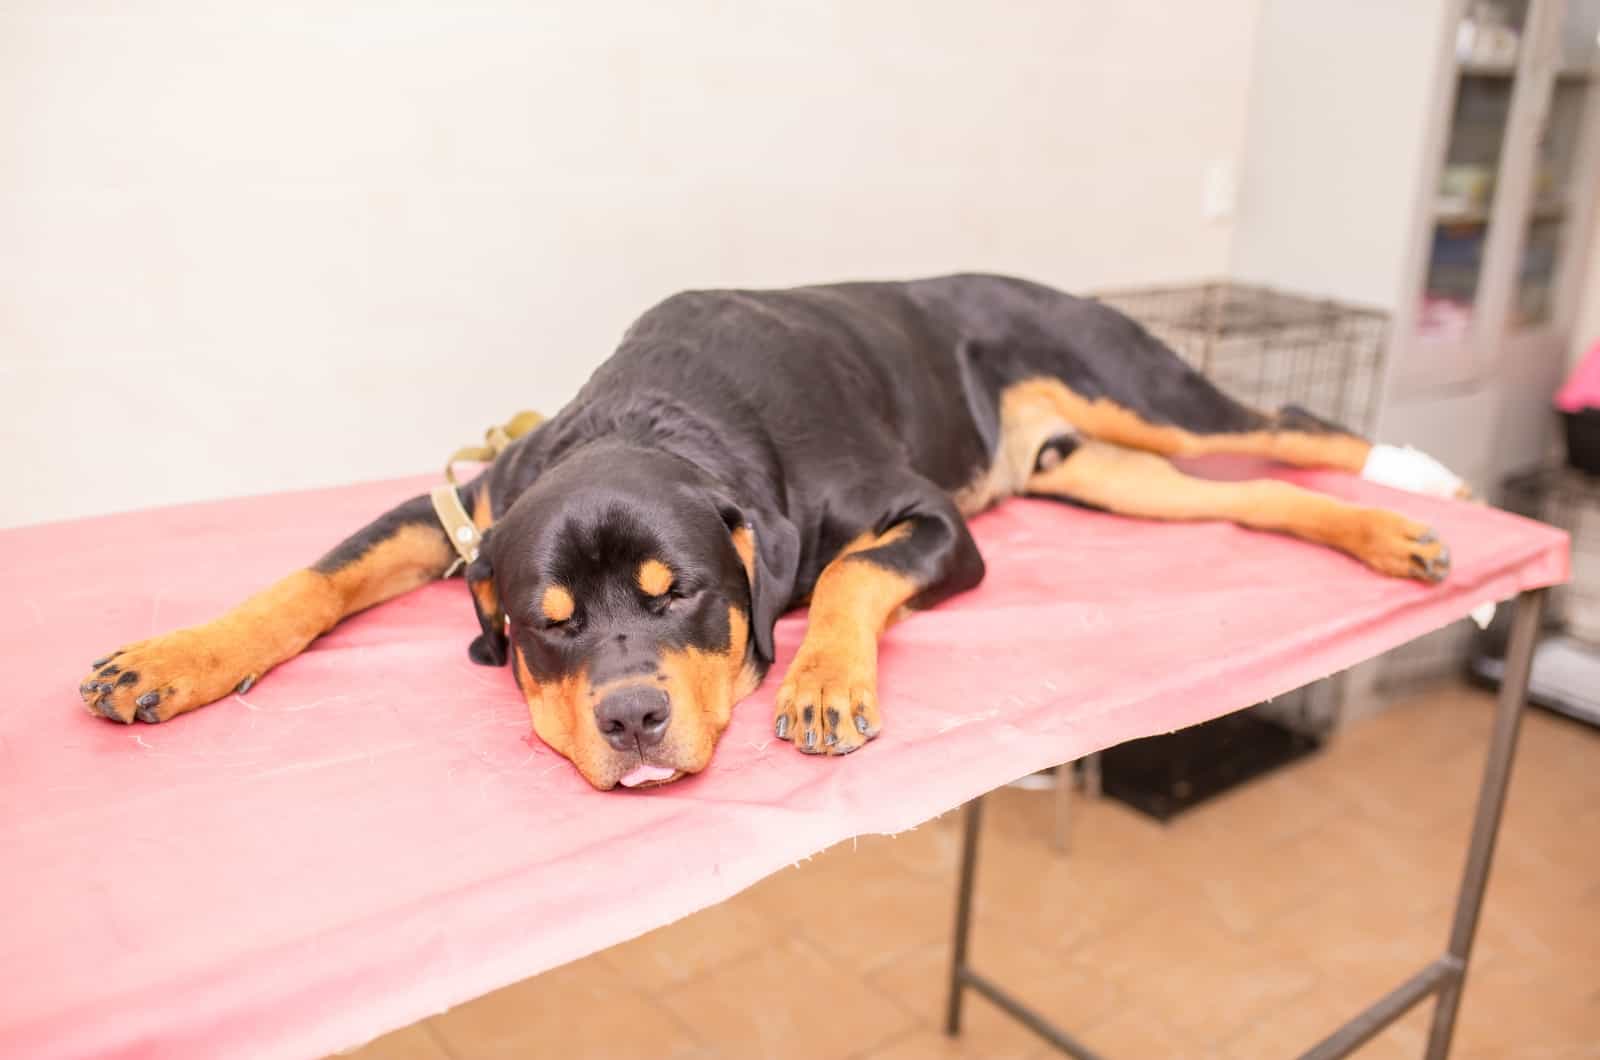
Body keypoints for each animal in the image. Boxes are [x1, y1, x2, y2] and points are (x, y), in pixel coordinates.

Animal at [72, 273, 1452, 787]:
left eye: (679, 589)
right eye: (546, 627)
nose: (632, 718)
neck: (654, 413)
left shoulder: (931, 523)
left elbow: (841, 578)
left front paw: (823, 684)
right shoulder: (457, 506)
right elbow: (312, 579)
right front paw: (174, 660)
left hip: (1122, 378)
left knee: (1285, 422)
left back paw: (1419, 472)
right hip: (1109, 472)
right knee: (1253, 488)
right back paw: (1390, 533)